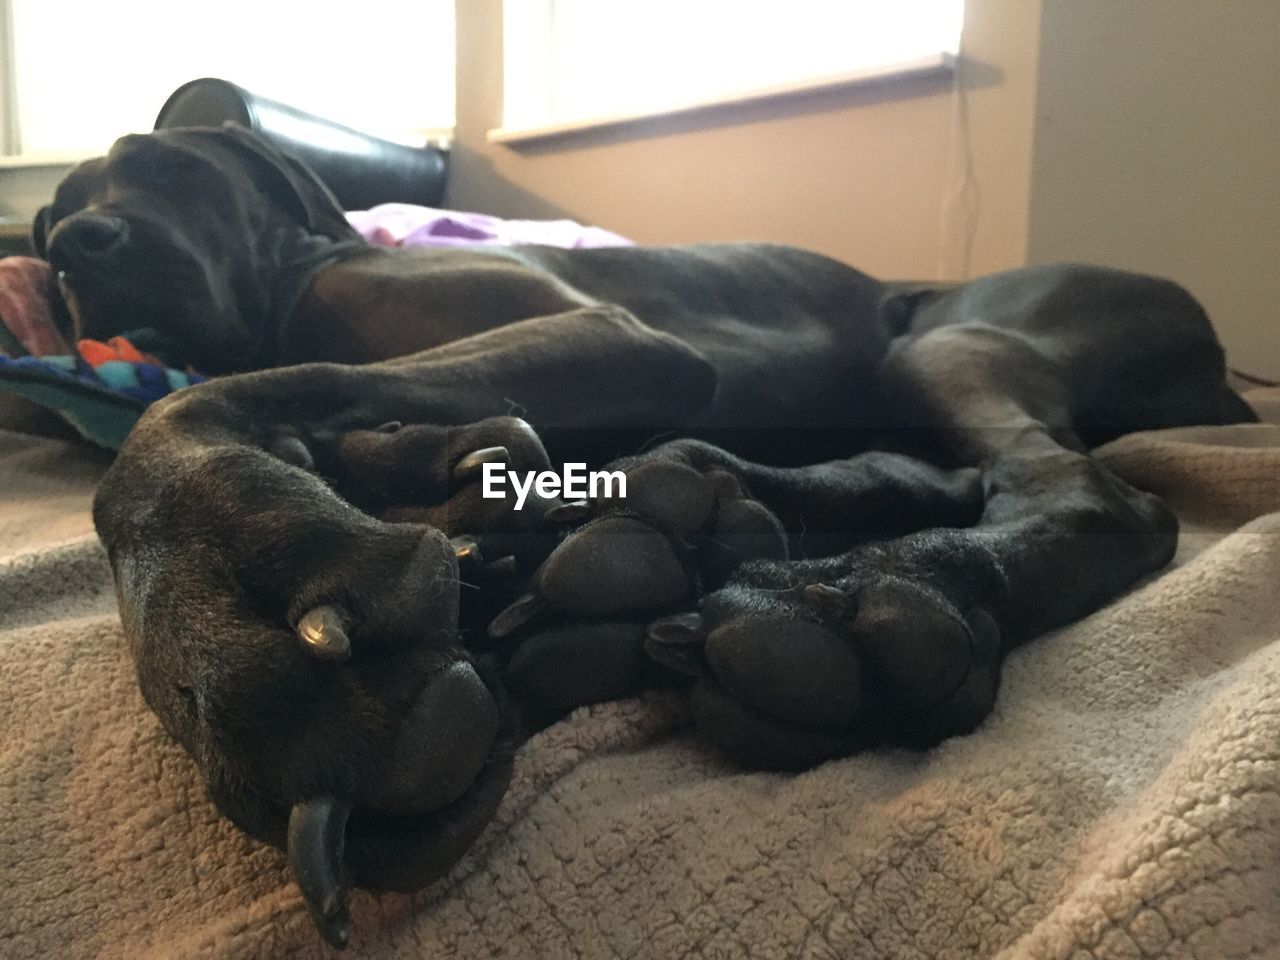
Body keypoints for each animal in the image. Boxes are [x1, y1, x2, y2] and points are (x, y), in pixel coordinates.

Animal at [32, 126, 1259, 947]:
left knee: (1094, 498)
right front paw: (443, 500)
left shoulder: (614, 334)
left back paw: (855, 602)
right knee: (912, 472)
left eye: (174, 169)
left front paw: (231, 595)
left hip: (949, 339)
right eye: (55, 213)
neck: (289, 284)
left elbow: (194, 410)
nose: (78, 244)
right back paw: (666, 532)